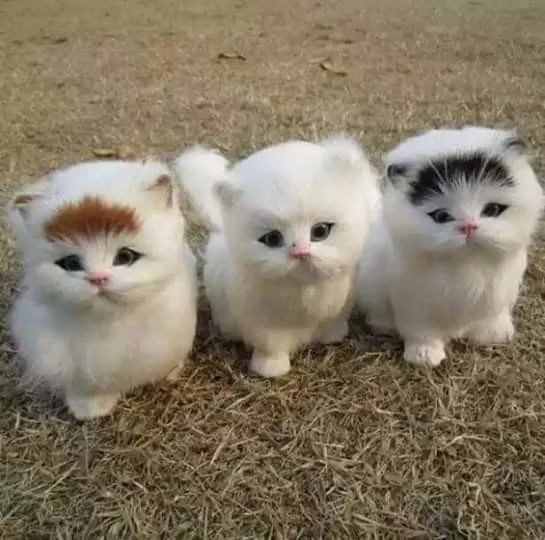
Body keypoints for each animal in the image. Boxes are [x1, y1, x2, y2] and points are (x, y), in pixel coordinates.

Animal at [175, 136, 380, 377]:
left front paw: (332, 338)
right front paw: (270, 370)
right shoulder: (264, 326)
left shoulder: (338, 308)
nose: (300, 252)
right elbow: (271, 348)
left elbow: (332, 326)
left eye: (320, 231)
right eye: (272, 239)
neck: (303, 288)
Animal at [356, 126, 544, 367]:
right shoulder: (415, 307)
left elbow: (489, 318)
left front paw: (491, 336)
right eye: (441, 216)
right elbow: (423, 333)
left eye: (492, 209)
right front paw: (424, 356)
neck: (467, 263)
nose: (469, 226)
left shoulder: (496, 297)